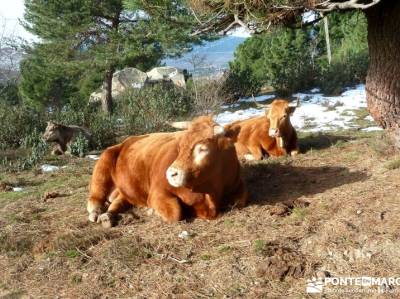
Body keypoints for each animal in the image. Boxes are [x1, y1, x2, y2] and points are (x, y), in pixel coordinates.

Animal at [86, 115, 247, 227]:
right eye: (180, 146)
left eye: (203, 148)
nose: (171, 174)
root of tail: (126, 140)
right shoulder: (157, 192)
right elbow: (175, 212)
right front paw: (152, 210)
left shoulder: (237, 185)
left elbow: (240, 200)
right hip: (102, 166)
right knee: (95, 198)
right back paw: (97, 213)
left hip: (126, 190)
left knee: (118, 202)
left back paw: (108, 217)